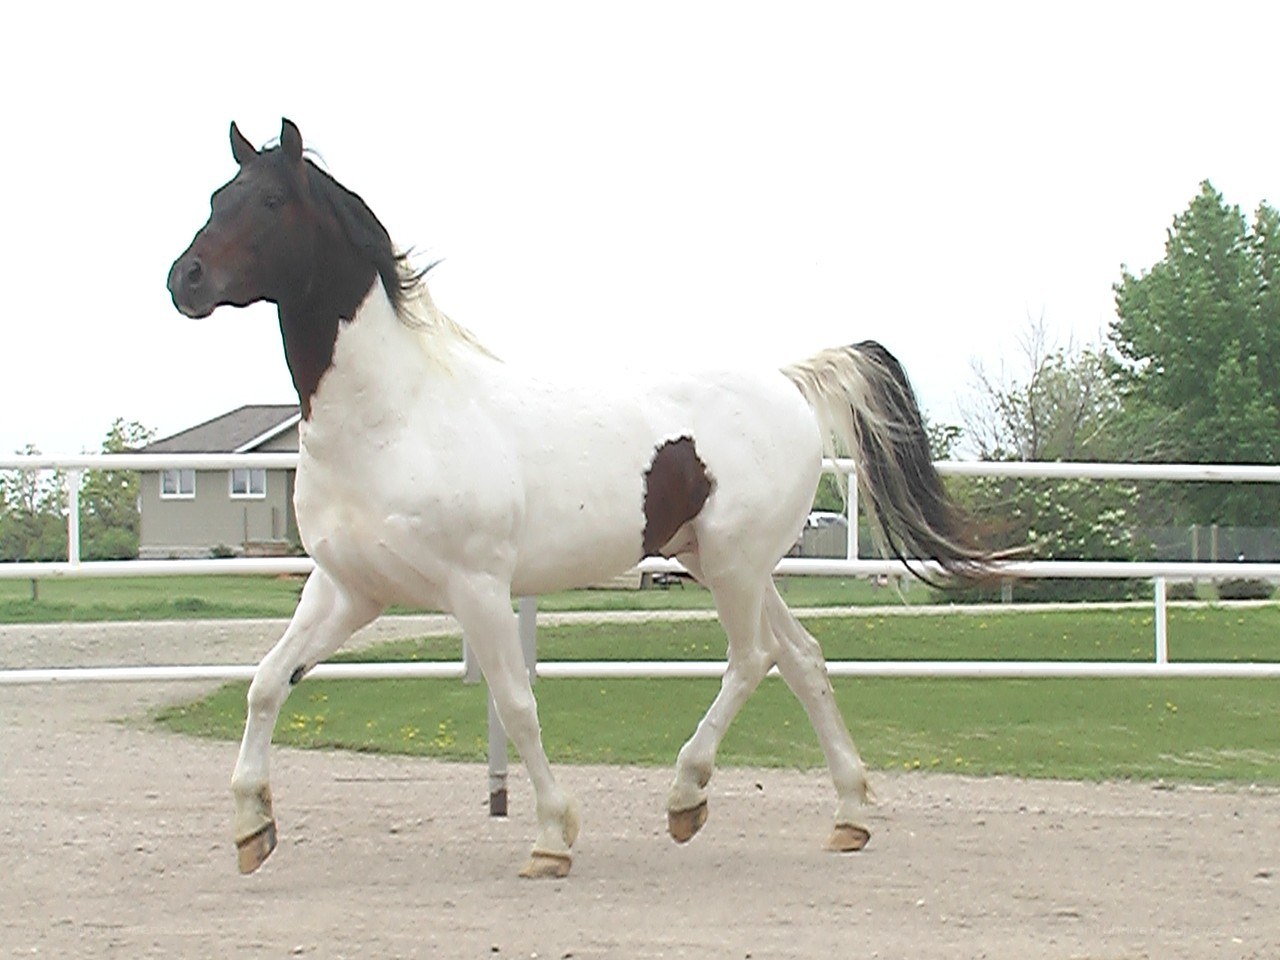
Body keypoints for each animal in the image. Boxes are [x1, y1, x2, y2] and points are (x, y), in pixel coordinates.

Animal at [167, 118, 991, 879]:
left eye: (270, 201)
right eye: (216, 197)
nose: (186, 279)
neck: (394, 417)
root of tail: (787, 382)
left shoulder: (477, 588)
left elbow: (516, 705)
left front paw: (552, 839)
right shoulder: (347, 590)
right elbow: (266, 684)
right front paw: (251, 828)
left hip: (734, 565)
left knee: (753, 658)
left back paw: (686, 797)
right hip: (729, 565)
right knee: (803, 659)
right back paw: (848, 816)